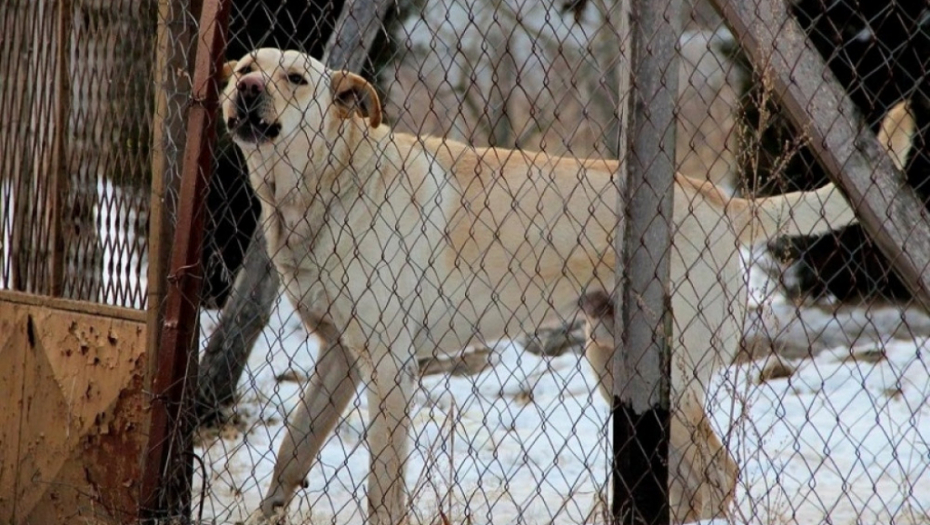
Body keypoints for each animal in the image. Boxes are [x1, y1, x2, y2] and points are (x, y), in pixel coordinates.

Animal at [219, 47, 856, 520]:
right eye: (247, 63)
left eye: (296, 78)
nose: (246, 87)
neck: (320, 188)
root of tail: (719, 199)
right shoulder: (339, 359)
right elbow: (289, 457)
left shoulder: (390, 368)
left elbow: (384, 492)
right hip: (619, 365)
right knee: (699, 477)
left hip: (676, 375)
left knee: (719, 473)